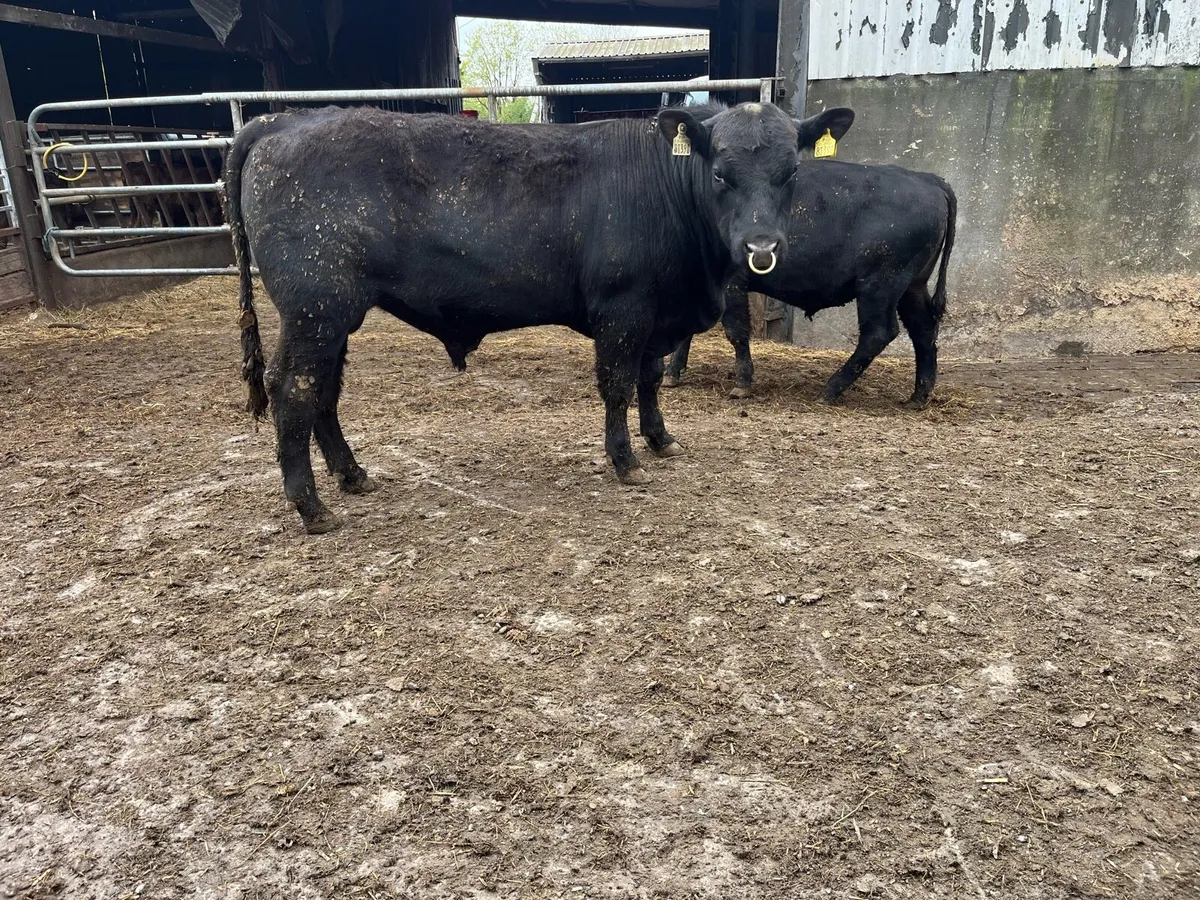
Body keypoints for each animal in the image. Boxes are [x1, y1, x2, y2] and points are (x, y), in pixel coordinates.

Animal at [224, 101, 855, 534]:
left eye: (791, 172)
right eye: (721, 173)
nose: (761, 247)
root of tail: (281, 120)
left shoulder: (655, 316)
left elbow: (650, 380)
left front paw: (661, 439)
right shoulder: (623, 308)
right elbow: (618, 384)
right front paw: (625, 461)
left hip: (332, 315)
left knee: (324, 390)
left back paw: (353, 476)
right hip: (315, 307)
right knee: (294, 387)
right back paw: (311, 506)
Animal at [663, 107, 956, 409]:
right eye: (719, 174)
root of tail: (928, 179)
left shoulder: (733, 282)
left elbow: (735, 329)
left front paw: (742, 382)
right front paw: (672, 373)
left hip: (882, 283)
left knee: (879, 333)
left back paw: (833, 387)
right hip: (912, 284)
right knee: (923, 328)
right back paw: (918, 396)